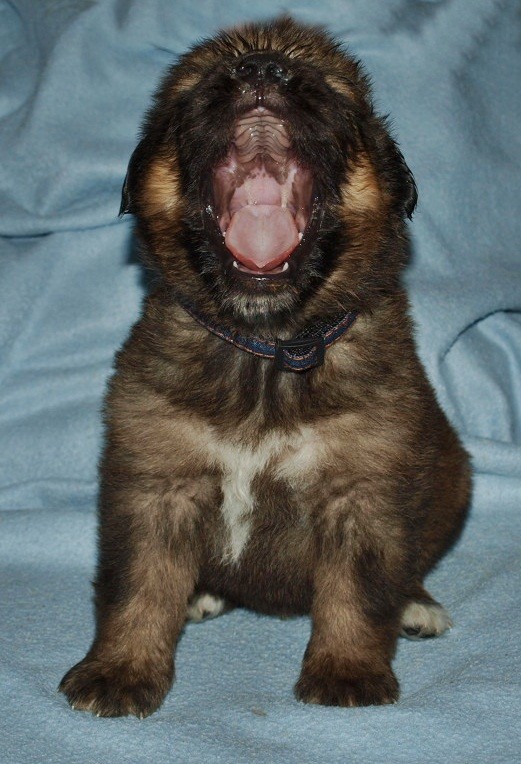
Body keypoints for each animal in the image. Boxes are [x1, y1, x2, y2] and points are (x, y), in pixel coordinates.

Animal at [59, 16, 471, 717]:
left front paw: (347, 672)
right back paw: (203, 595)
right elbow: (139, 586)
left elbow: (357, 593)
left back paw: (417, 606)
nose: (259, 70)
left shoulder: (362, 490)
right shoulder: (155, 482)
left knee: (407, 569)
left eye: (328, 89)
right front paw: (120, 670)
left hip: (453, 480)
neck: (267, 351)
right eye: (198, 86)